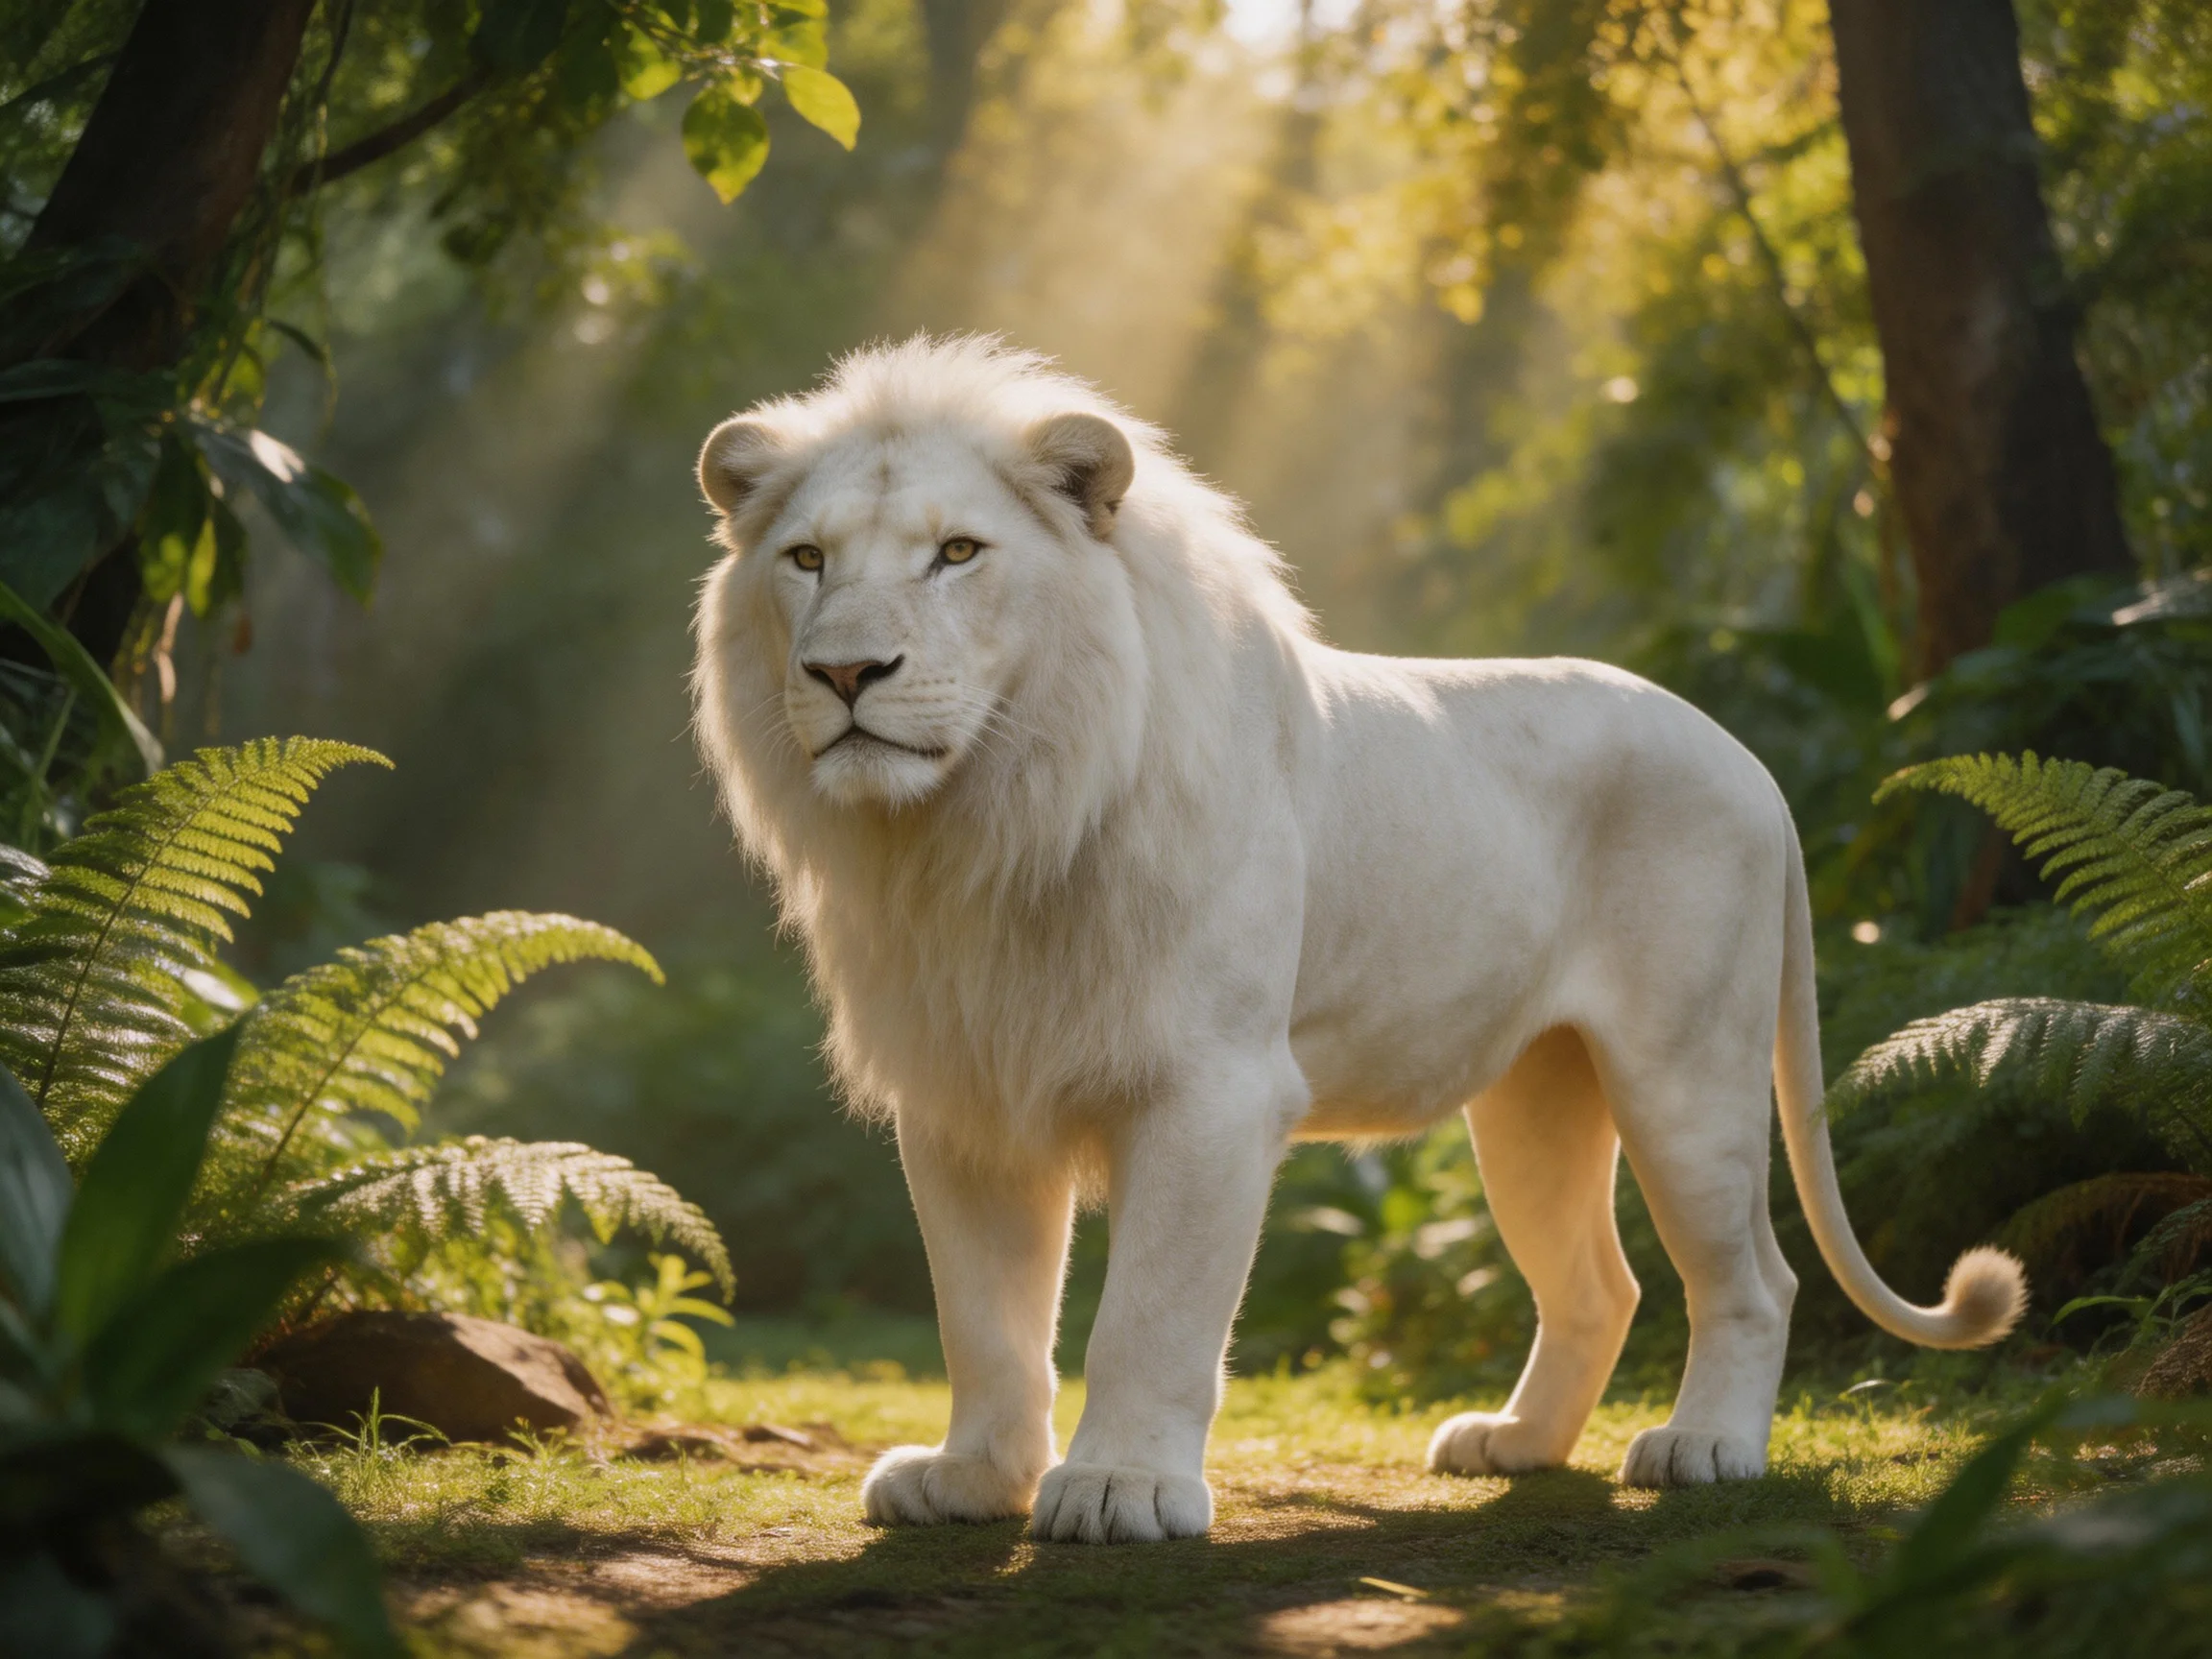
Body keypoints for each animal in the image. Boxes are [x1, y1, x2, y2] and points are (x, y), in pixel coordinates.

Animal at [689, 336, 2025, 1545]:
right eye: (808, 559)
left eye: (957, 553)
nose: (846, 671)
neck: (975, 830)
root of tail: (1748, 759)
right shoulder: (962, 1092)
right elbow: (983, 1316)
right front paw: (972, 1480)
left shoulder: (1211, 1086)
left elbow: (1151, 1314)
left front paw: (1118, 1490)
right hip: (1536, 1100)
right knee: (1601, 1284)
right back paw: (1515, 1445)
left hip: (1685, 1069)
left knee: (1751, 1275)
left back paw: (1704, 1449)